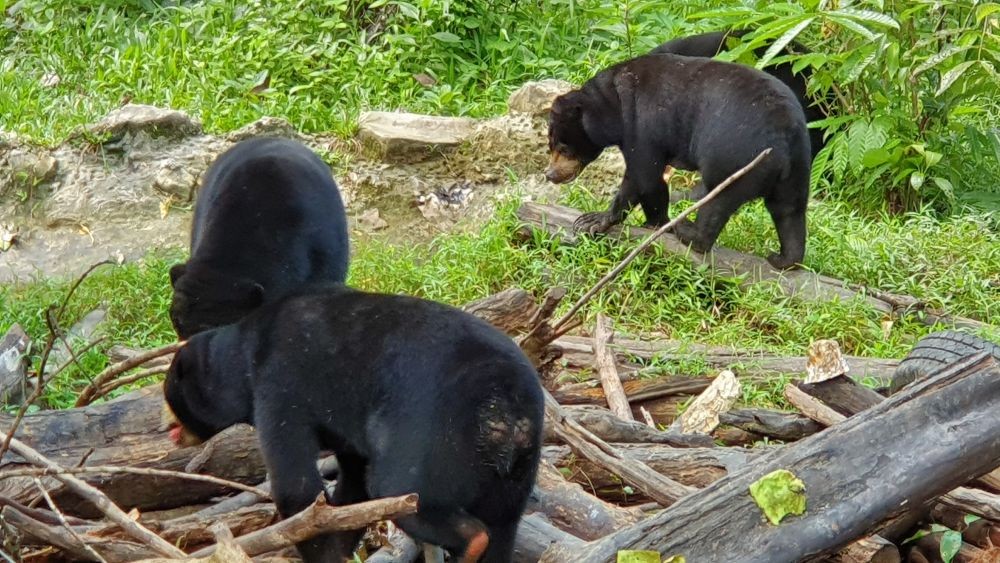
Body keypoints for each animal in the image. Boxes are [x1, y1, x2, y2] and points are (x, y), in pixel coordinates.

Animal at [163, 286, 544, 563]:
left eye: (169, 396)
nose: (167, 428)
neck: (245, 358)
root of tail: (505, 409)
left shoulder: (281, 384)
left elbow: (296, 486)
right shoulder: (347, 427)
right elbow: (352, 487)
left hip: (437, 437)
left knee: (402, 489)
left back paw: (468, 545)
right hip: (513, 472)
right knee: (502, 525)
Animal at [548, 53, 812, 270]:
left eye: (563, 147)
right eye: (551, 146)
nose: (550, 174)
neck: (613, 103)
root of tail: (782, 140)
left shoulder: (642, 124)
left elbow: (643, 174)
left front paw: (593, 220)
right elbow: (652, 181)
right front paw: (654, 223)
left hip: (736, 156)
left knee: (718, 198)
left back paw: (687, 230)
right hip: (797, 167)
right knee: (789, 210)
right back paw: (785, 258)